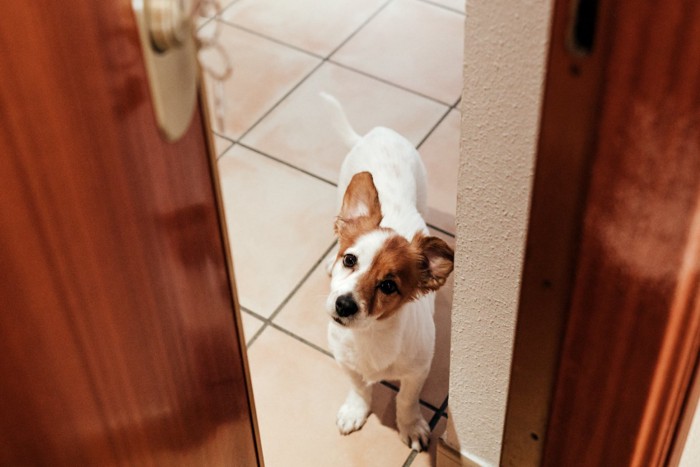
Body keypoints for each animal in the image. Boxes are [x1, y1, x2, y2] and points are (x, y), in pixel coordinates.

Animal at [322, 93, 454, 452]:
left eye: (388, 286)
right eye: (349, 260)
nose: (343, 305)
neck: (370, 336)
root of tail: (378, 132)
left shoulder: (417, 370)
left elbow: (406, 400)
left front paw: (410, 426)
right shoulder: (344, 360)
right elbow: (358, 387)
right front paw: (356, 410)